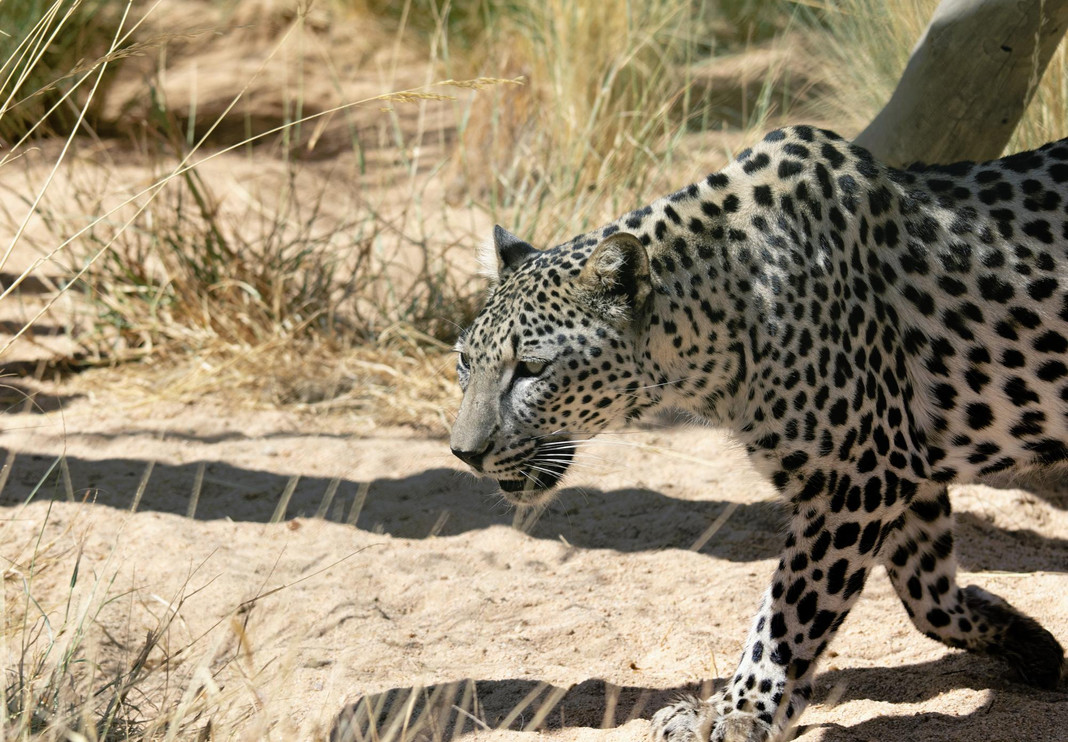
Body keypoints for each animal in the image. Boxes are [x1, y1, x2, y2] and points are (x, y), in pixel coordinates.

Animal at [446, 124, 1063, 738]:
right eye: (464, 362)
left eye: (531, 369)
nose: (464, 452)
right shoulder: (904, 468)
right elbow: (926, 596)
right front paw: (1027, 639)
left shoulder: (857, 478)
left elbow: (790, 612)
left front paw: (738, 711)